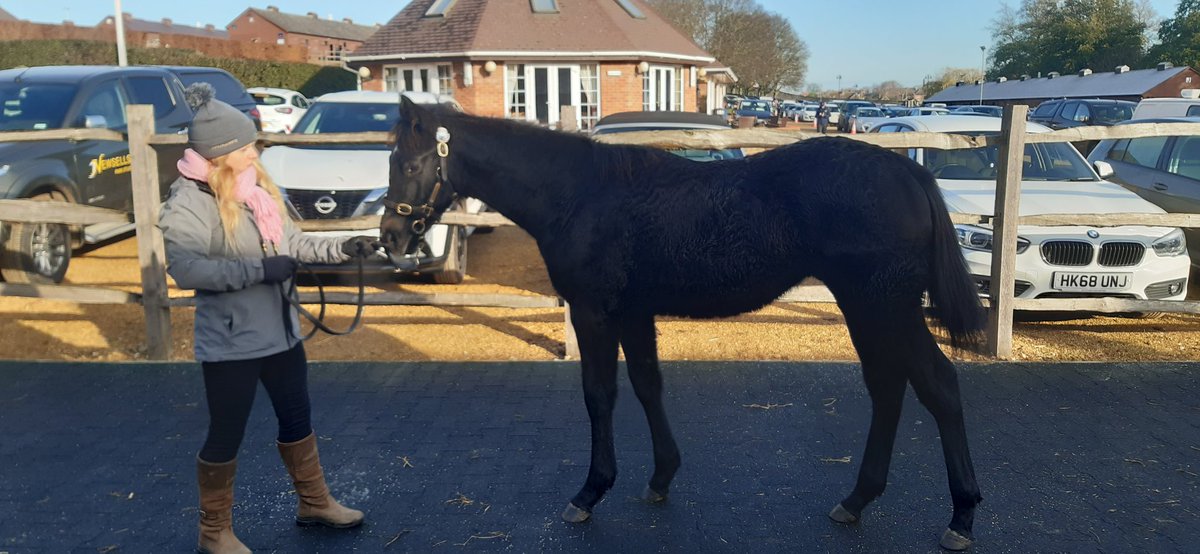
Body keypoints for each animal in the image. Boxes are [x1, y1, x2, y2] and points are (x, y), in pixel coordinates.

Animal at [380, 97, 987, 551]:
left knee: (938, 385)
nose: (389, 235)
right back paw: (857, 500)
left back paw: (960, 517)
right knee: (889, 388)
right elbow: (648, 385)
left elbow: (600, 395)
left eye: (408, 165)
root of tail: (908, 168)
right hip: (870, 309)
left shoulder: (595, 312)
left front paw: (590, 492)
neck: (577, 193)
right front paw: (661, 477)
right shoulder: (633, 311)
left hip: (884, 306)